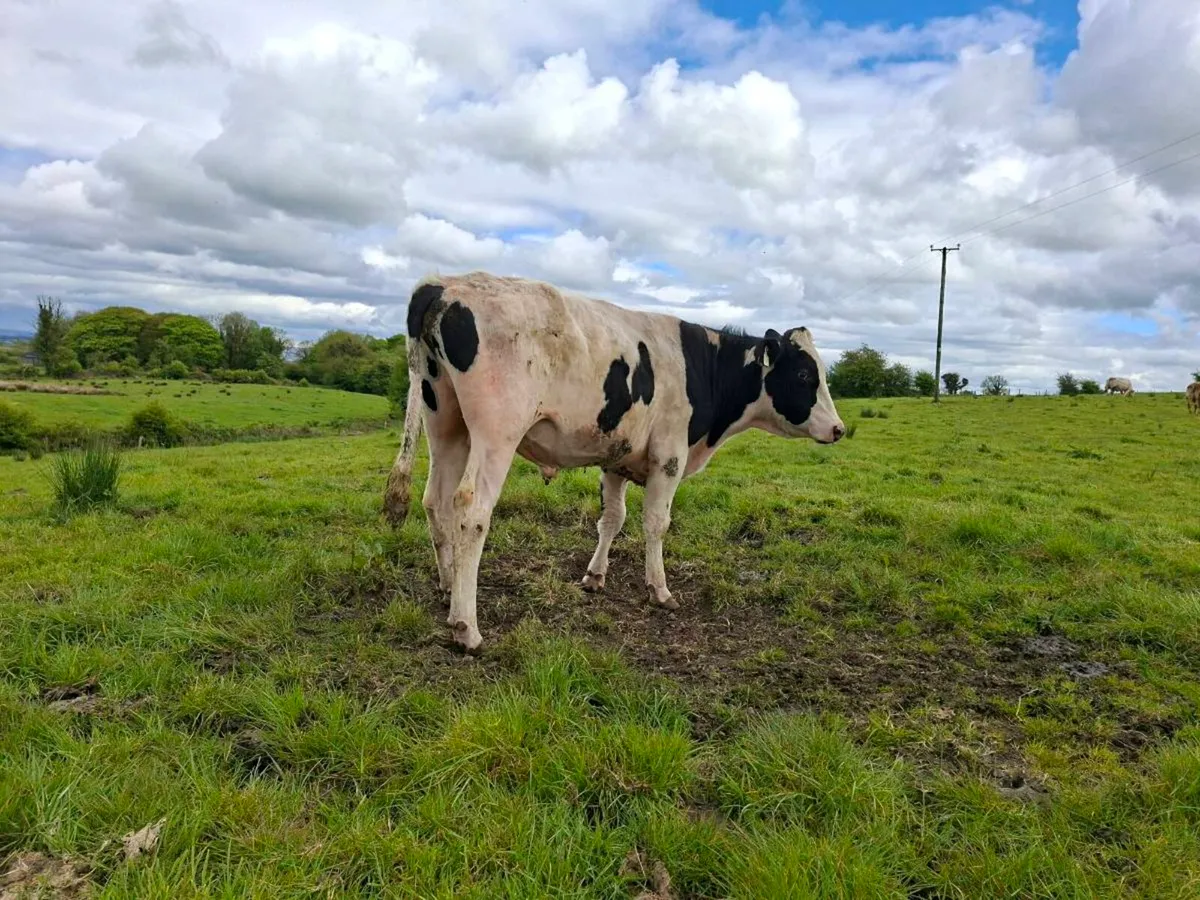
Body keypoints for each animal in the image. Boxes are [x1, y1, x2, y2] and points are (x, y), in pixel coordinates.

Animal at [383, 271, 846, 652]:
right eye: (805, 375)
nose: (839, 429)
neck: (703, 367)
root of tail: (443, 284)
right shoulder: (669, 456)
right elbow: (655, 523)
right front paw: (659, 590)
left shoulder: (616, 458)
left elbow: (611, 519)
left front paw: (594, 576)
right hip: (496, 434)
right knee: (470, 511)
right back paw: (466, 626)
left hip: (446, 423)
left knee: (435, 500)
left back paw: (448, 586)